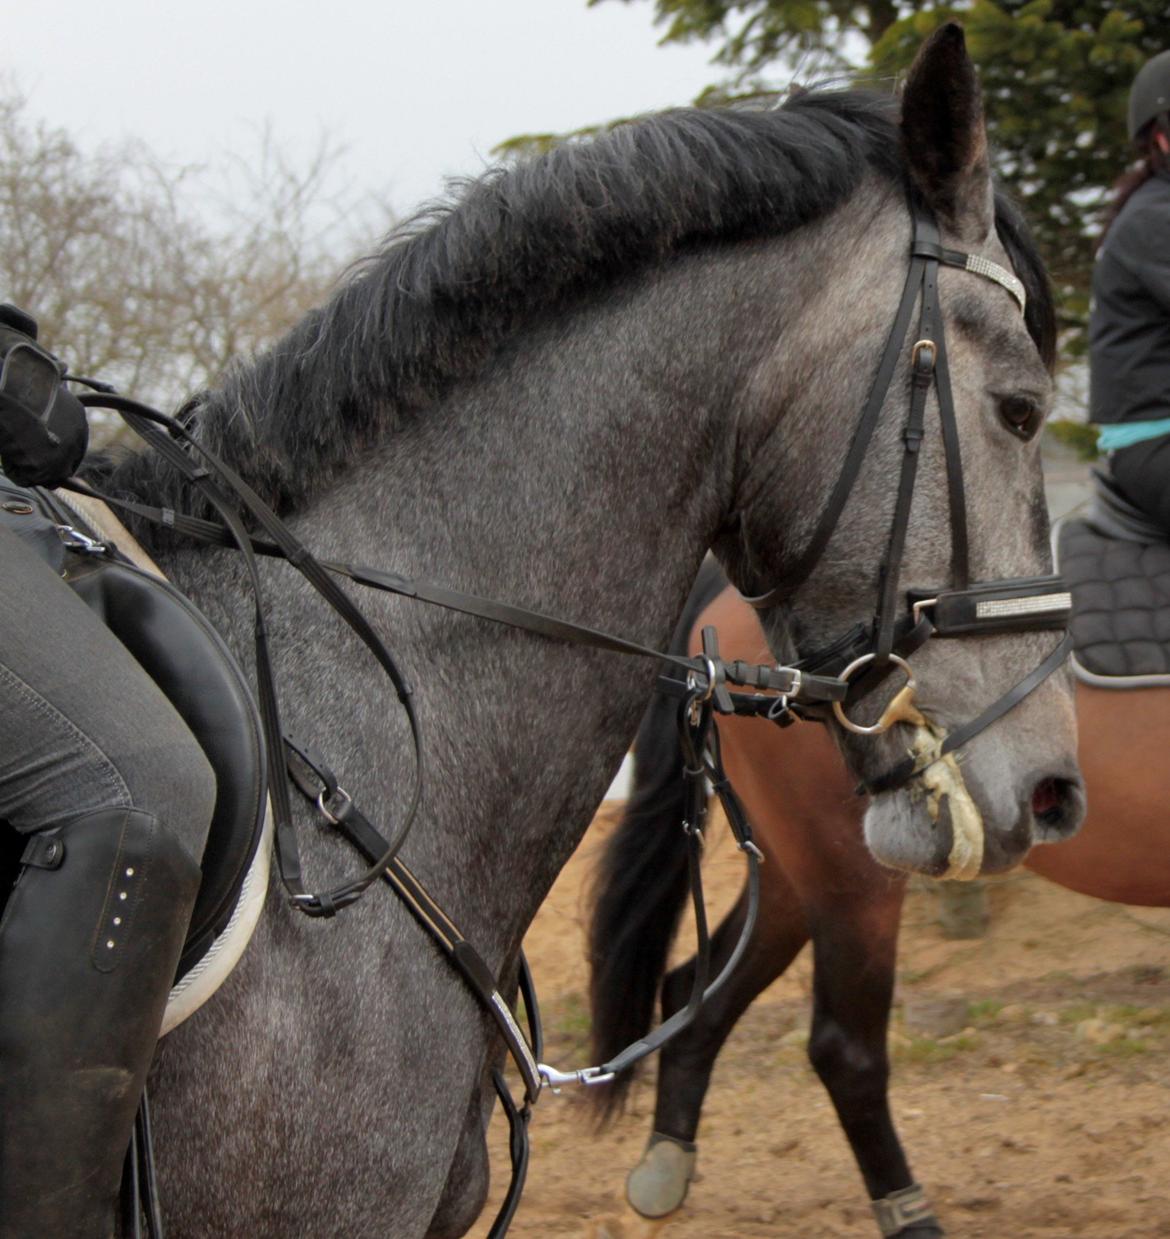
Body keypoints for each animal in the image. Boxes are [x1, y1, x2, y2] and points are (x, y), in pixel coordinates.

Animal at [589, 564, 1170, 1239]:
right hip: (851, 876)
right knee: (844, 1051)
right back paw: (908, 1211)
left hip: (796, 867)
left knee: (697, 991)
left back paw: (665, 1163)